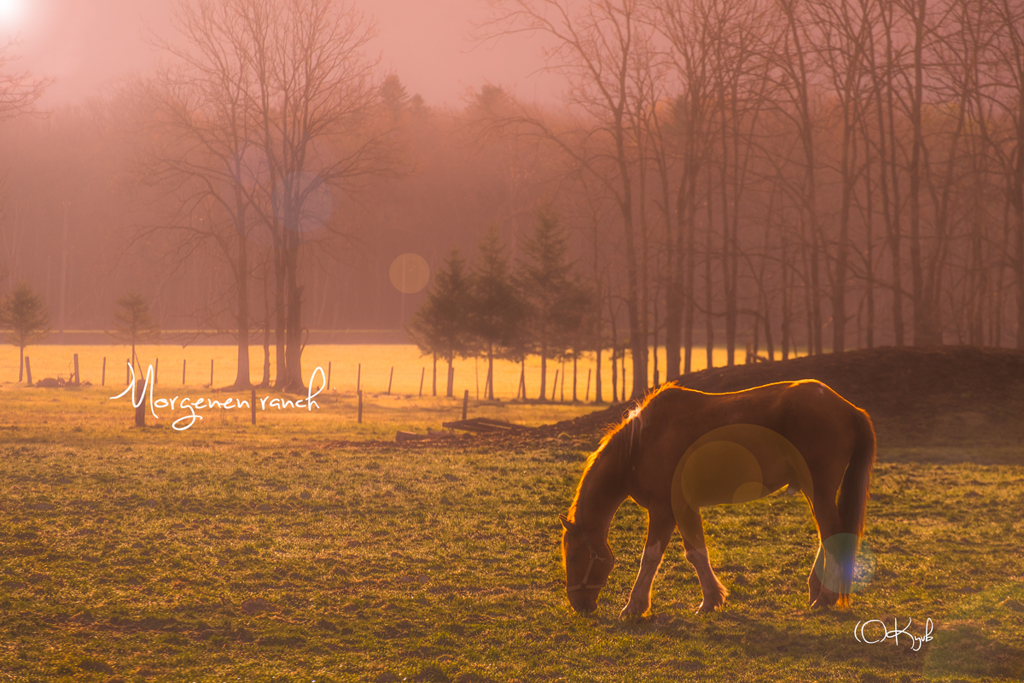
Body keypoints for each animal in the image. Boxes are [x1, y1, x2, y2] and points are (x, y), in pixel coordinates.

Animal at [565, 382, 876, 618]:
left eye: (574, 555)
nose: (578, 605)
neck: (641, 443)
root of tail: (849, 408)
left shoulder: (664, 510)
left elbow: (652, 557)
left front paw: (634, 606)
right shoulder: (684, 509)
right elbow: (696, 553)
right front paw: (711, 599)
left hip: (819, 491)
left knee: (832, 534)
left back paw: (825, 597)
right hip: (814, 493)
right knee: (828, 536)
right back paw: (817, 590)